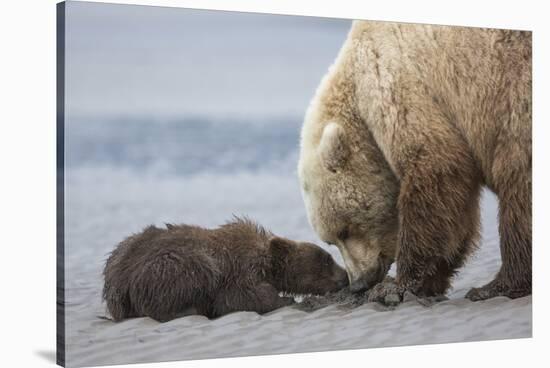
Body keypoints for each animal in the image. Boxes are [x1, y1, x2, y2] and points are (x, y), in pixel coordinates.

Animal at [300, 20, 532, 304]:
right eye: (330, 240)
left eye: (345, 230)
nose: (358, 283)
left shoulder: (397, 83)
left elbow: (436, 172)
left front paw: (396, 286)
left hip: (514, 96)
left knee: (517, 184)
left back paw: (497, 285)